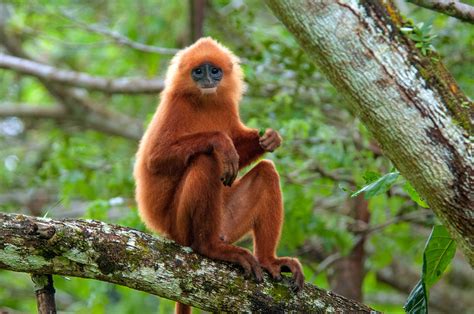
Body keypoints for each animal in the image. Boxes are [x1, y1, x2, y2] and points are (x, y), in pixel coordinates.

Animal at [133, 37, 304, 312]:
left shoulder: (225, 106)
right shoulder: (175, 106)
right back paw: (211, 248)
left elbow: (242, 151)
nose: (207, 79)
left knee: (267, 171)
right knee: (206, 160)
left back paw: (269, 260)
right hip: (179, 226)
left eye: (214, 71)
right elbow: (156, 159)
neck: (204, 101)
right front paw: (220, 142)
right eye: (198, 71)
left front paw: (269, 139)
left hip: (226, 221)